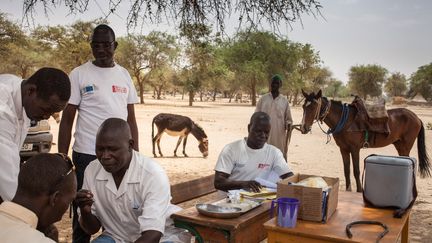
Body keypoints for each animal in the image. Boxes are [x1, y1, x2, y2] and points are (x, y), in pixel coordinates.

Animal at [298, 89, 430, 192]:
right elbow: (347, 170)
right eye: (303, 106)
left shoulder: (355, 149)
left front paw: (359, 190)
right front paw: (348, 190)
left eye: (313, 106)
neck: (345, 121)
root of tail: (417, 118)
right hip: (399, 145)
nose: (303, 128)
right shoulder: (343, 149)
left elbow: (356, 171)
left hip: (406, 146)